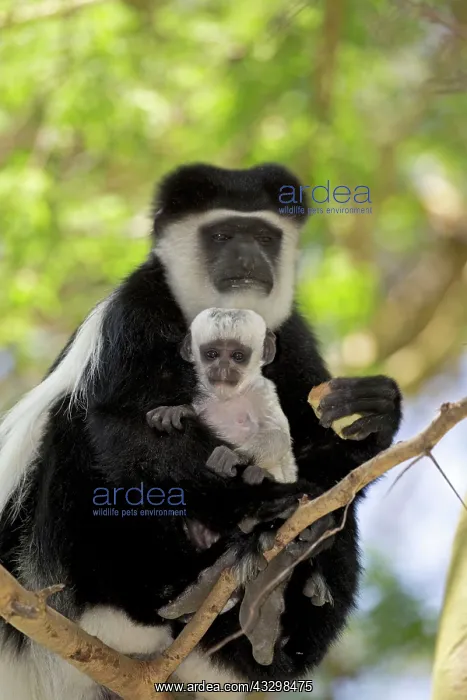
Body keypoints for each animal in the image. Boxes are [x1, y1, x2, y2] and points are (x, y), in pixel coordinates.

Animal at [0, 162, 402, 699]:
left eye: (265, 236)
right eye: (223, 234)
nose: (248, 255)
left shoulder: (288, 336)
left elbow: (317, 455)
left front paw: (372, 415)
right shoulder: (135, 312)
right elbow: (119, 426)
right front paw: (258, 503)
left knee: (340, 513)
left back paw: (273, 610)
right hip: (44, 579)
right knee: (74, 427)